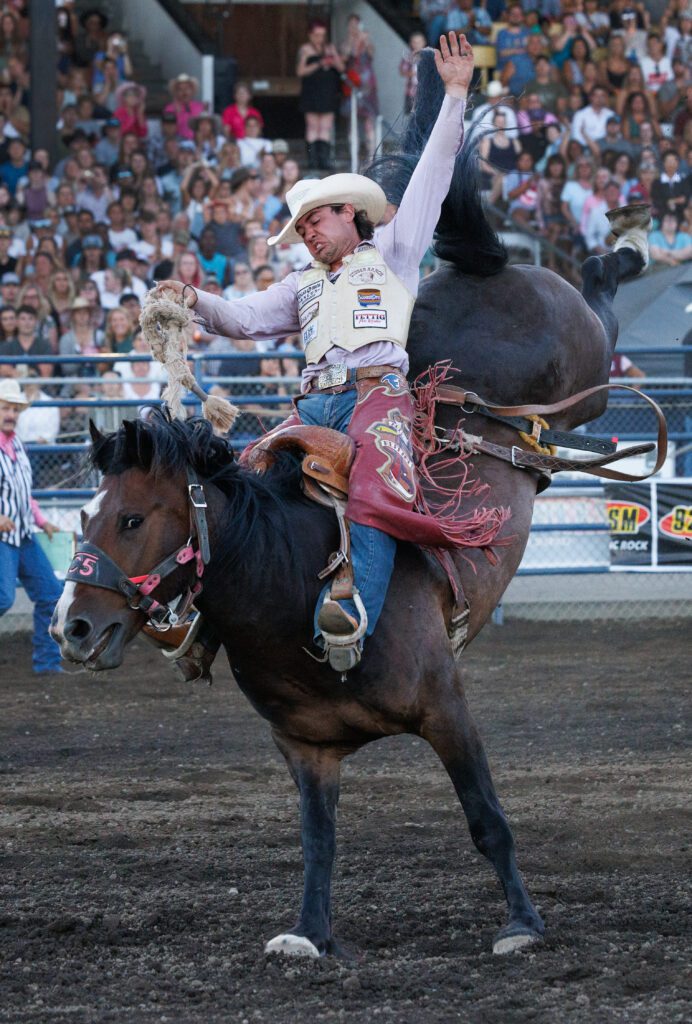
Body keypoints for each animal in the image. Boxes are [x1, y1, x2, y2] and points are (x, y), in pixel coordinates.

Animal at [49, 59, 663, 958]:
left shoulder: (446, 704)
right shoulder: (307, 747)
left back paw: (629, 245)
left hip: (582, 357)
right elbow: (319, 842)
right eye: (84, 517)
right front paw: (309, 933)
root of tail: (481, 272)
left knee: (597, 289)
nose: (74, 627)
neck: (289, 576)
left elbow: (486, 819)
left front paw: (522, 924)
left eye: (131, 519)